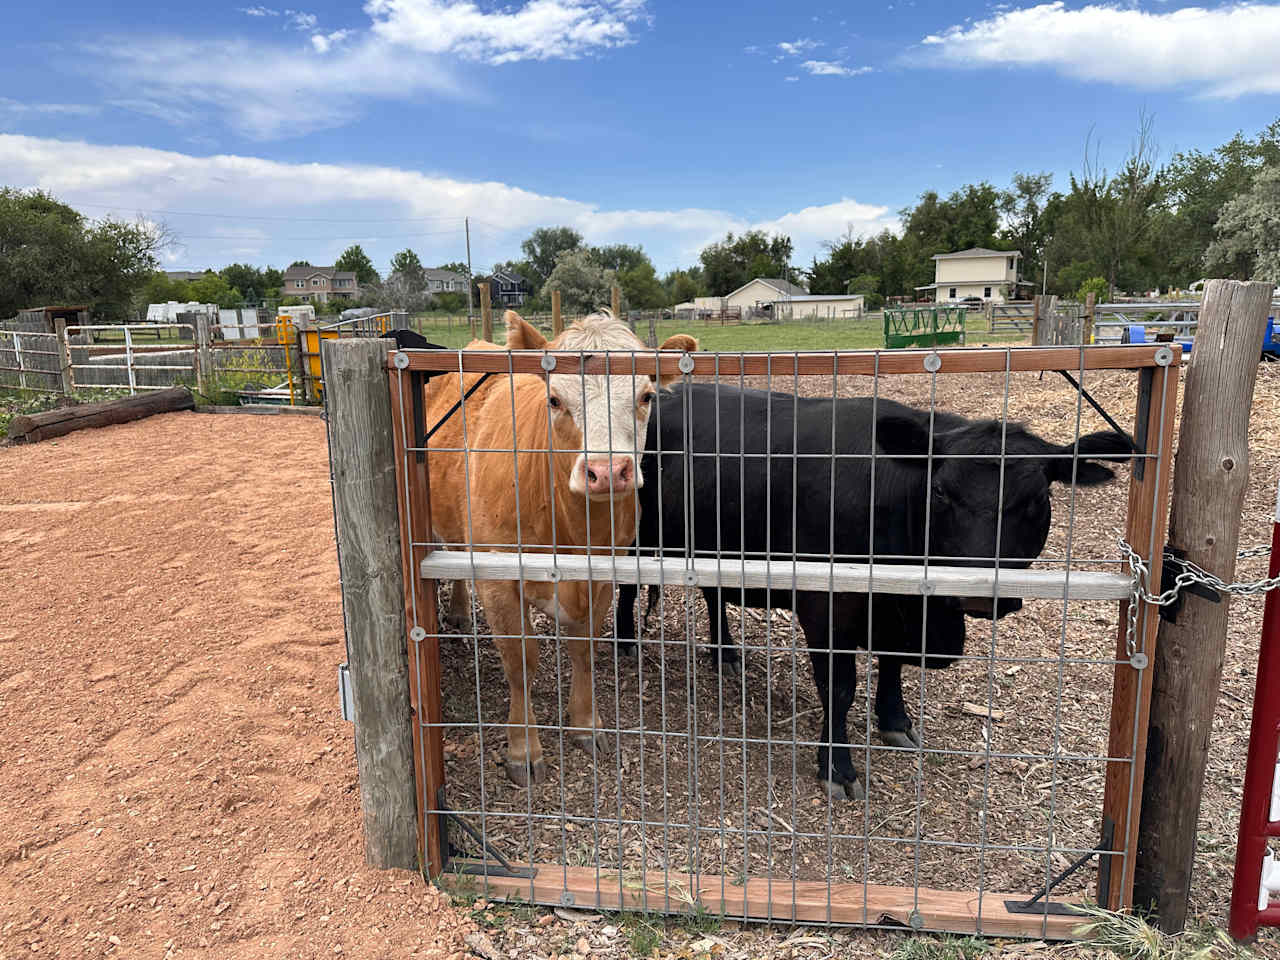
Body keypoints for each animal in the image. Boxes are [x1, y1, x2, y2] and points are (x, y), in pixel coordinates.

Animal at [424, 312, 696, 783]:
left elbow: (584, 649)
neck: (572, 528)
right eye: (554, 400)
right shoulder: (499, 581)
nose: (608, 472)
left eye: (645, 396)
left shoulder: (605, 574)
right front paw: (523, 749)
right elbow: (521, 663)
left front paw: (586, 723)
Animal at [619, 384, 1131, 803]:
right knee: (625, 583)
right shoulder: (826, 604)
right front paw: (837, 766)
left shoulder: (892, 607)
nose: (979, 594)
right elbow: (840, 687)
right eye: (940, 493)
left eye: (1037, 499)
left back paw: (724, 651)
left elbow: (892, 663)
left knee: (710, 591)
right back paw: (626, 642)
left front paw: (895, 721)